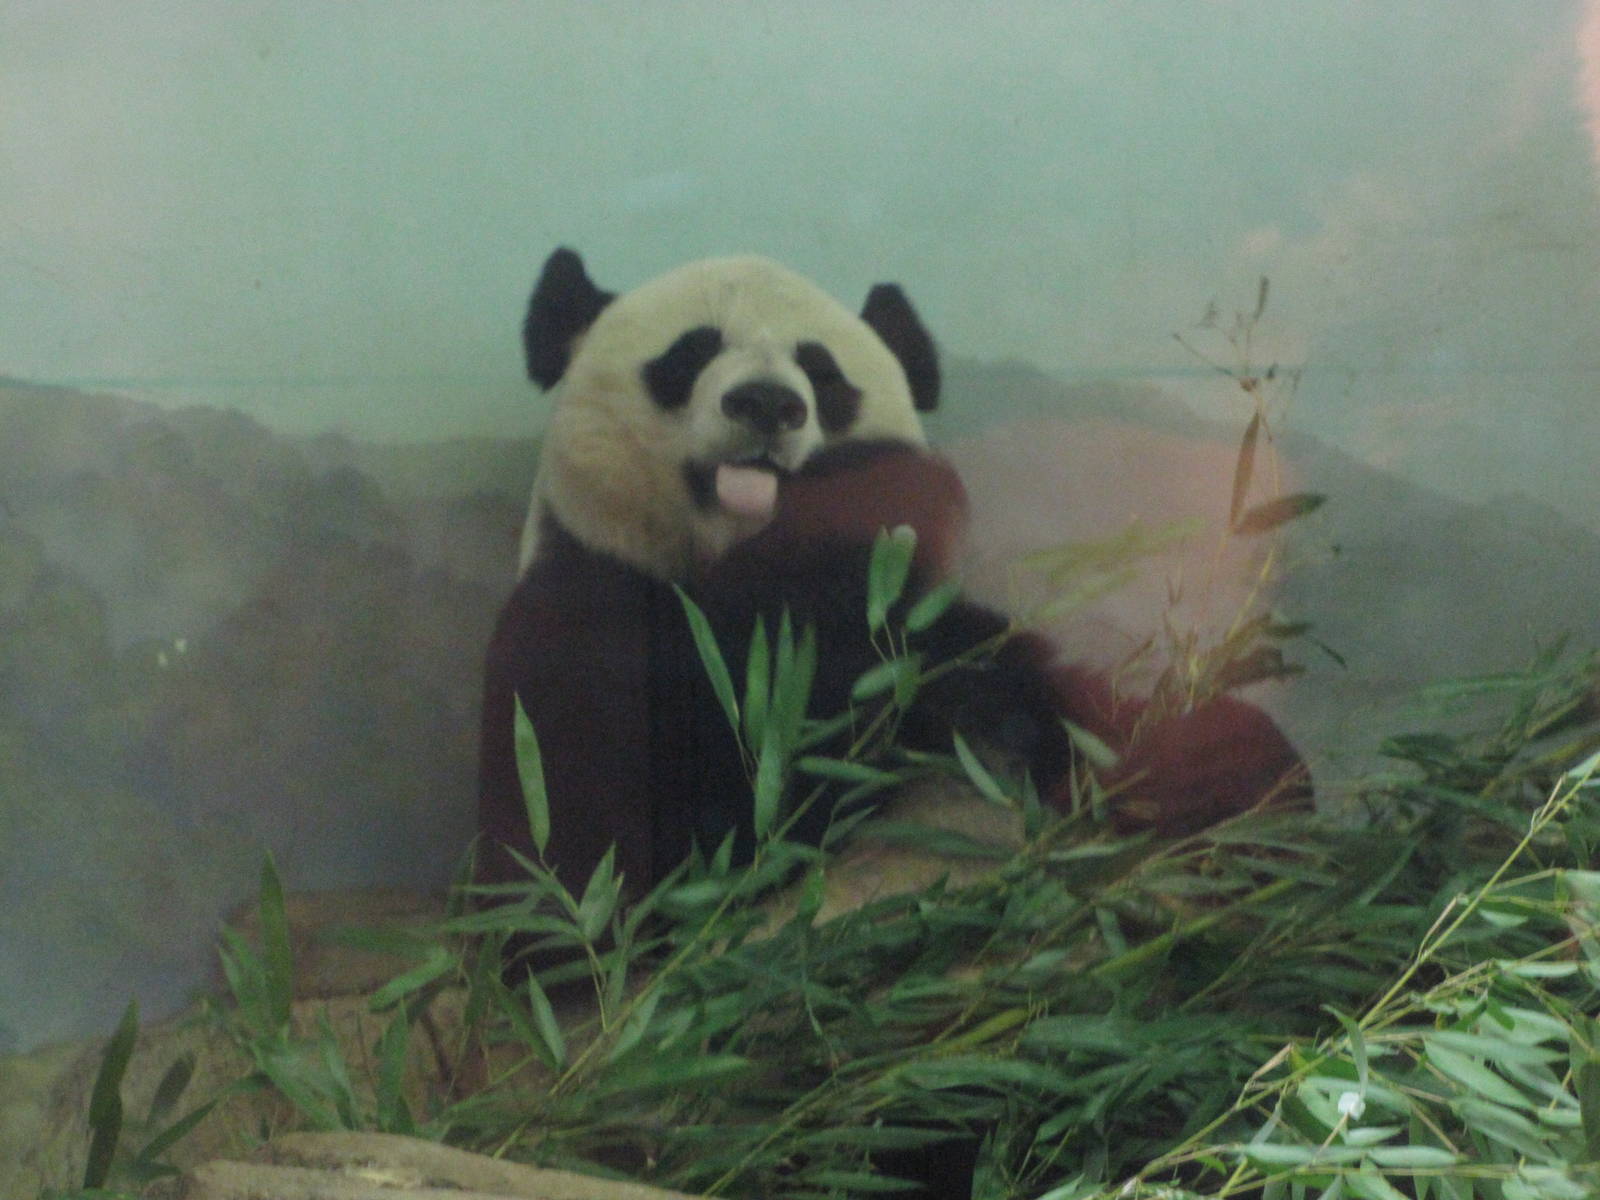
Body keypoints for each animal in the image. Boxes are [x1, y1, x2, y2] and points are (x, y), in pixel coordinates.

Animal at [476, 247, 1310, 905]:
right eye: (692, 352)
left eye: (822, 372)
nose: (768, 403)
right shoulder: (582, 614)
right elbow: (624, 857)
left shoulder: (947, 634)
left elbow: (1073, 717)